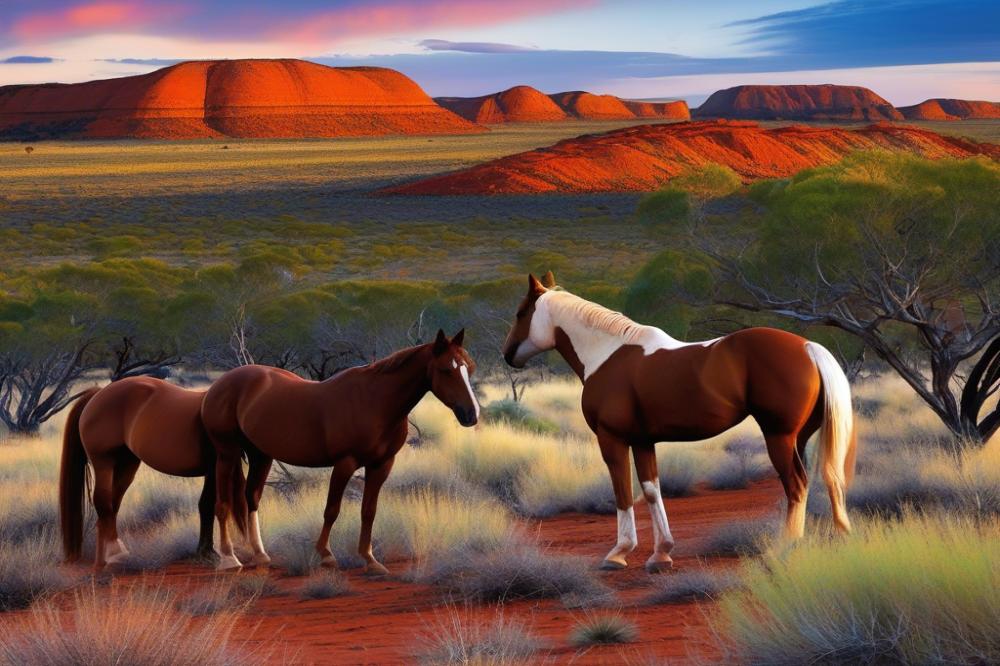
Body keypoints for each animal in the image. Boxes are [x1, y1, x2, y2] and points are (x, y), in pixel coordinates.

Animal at [60, 376, 227, 571]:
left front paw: (208, 551)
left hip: (126, 464)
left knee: (112, 506)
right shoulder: (216, 467)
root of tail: (98, 393)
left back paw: (110, 557)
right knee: (103, 504)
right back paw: (108, 559)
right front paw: (208, 553)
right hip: (103, 463)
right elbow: (208, 504)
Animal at [202, 329, 480, 573]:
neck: (374, 401)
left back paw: (260, 555)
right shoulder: (345, 463)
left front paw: (370, 559)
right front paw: (326, 555)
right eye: (446, 370)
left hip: (261, 455)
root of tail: (221, 384)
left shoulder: (381, 465)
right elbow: (332, 510)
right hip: (226, 453)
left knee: (251, 498)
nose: (472, 414)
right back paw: (229, 559)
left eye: (469, 368)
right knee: (222, 504)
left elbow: (369, 511)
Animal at [502, 273, 855, 573]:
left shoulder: (612, 439)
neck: (607, 354)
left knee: (796, 485)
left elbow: (622, 491)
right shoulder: (643, 441)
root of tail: (807, 346)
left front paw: (618, 553)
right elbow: (651, 490)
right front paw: (661, 554)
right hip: (799, 438)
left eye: (520, 313)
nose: (507, 355)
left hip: (778, 436)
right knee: (813, 481)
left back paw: (783, 549)